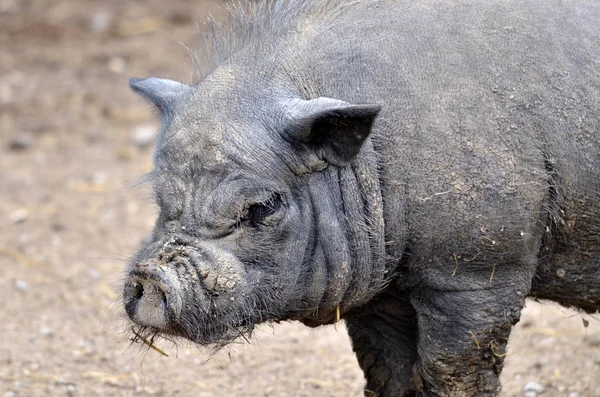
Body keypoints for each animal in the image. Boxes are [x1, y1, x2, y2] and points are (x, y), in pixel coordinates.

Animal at [122, 0, 600, 394]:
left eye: (262, 207)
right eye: (161, 199)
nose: (150, 275)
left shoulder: (480, 269)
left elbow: (452, 369)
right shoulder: (381, 296)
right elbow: (387, 369)